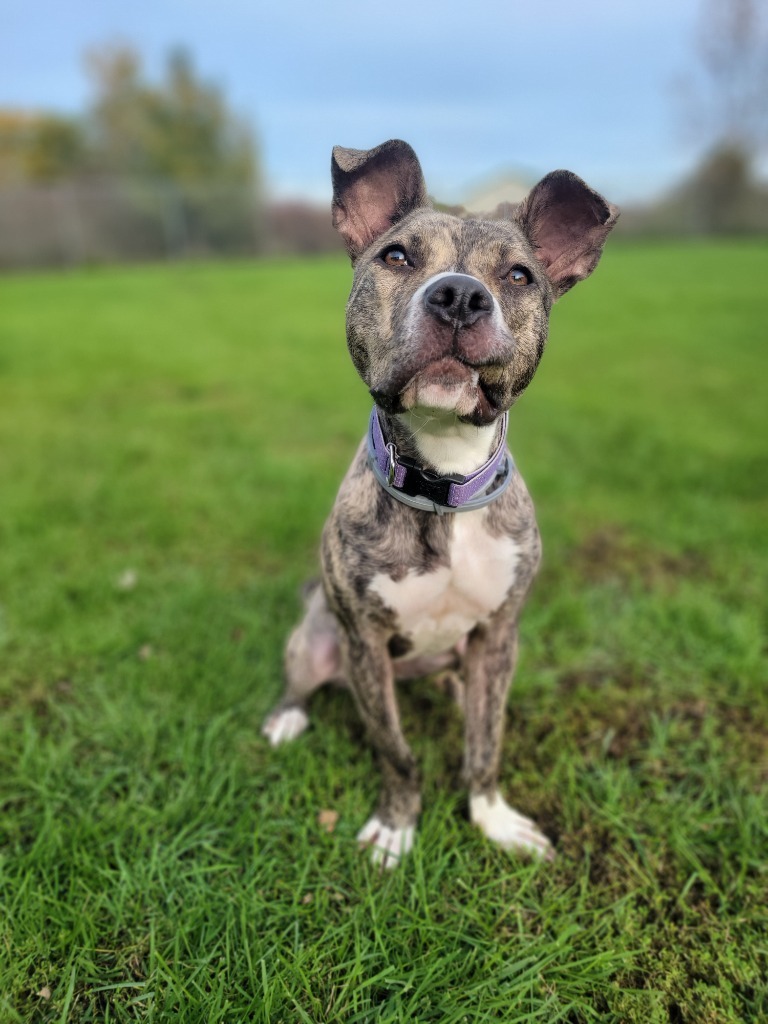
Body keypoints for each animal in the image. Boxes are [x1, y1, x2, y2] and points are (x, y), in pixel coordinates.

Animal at [264, 140, 618, 868]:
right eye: (397, 256)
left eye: (519, 275)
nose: (460, 295)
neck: (445, 480)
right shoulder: (366, 646)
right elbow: (396, 752)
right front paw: (395, 826)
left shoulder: (499, 636)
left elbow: (485, 745)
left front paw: (493, 817)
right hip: (316, 641)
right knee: (300, 680)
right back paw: (285, 716)